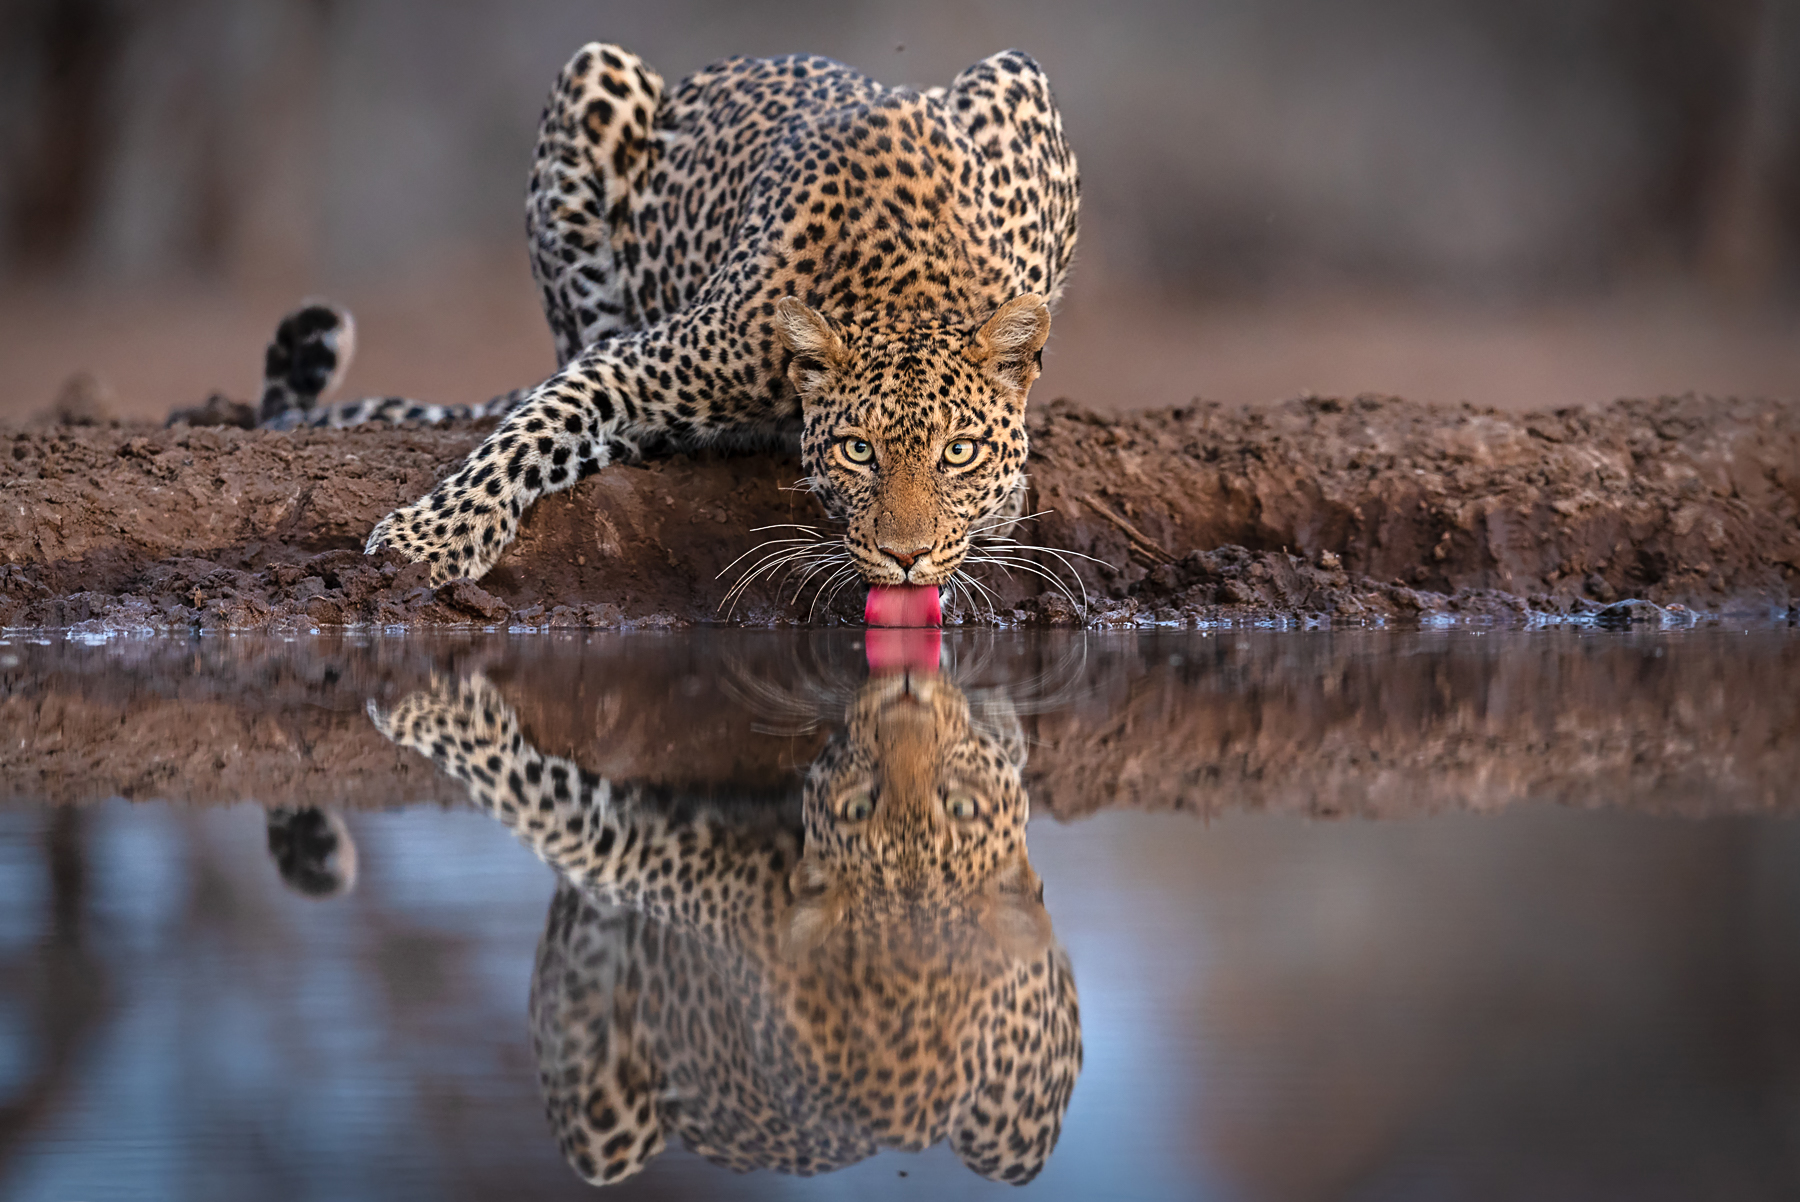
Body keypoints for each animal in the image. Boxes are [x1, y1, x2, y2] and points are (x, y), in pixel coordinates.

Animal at [352, 42, 1080, 602]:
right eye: (858, 450)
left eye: (959, 452)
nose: (907, 558)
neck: (907, 291)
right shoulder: (627, 363)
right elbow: (526, 434)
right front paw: (427, 541)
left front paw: (999, 506)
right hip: (592, 77)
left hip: (1014, 67)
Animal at [369, 661, 1082, 1186]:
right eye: (859, 807)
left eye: (961, 806)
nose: (909, 694)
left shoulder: (626, 846)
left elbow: (518, 785)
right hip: (604, 1135)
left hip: (1014, 1144)